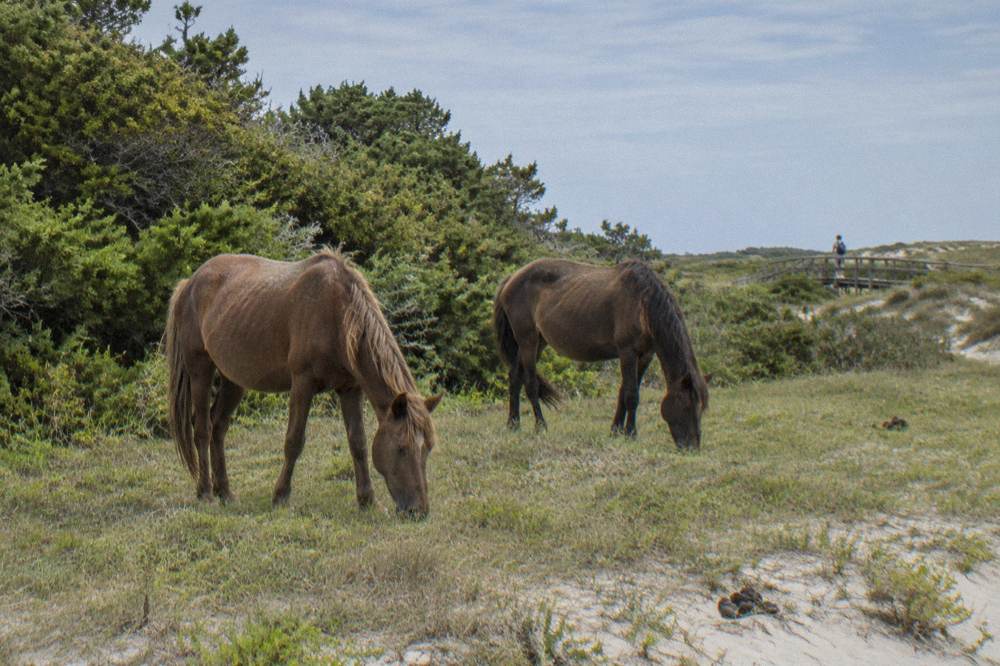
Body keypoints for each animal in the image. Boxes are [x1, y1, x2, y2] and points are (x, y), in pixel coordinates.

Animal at [164, 249, 441, 516]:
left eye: (427, 448)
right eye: (402, 448)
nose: (418, 511)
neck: (337, 314)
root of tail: (189, 283)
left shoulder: (350, 389)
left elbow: (358, 444)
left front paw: (367, 501)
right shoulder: (302, 384)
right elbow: (294, 441)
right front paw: (280, 496)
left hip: (233, 379)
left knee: (219, 427)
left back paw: (226, 493)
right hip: (200, 370)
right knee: (203, 428)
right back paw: (206, 493)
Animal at [493, 258, 709, 448]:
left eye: (701, 408)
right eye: (687, 405)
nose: (692, 447)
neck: (642, 302)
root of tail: (511, 278)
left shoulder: (645, 355)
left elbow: (623, 391)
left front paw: (615, 430)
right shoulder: (627, 352)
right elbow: (631, 394)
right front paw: (630, 433)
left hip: (538, 343)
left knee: (515, 377)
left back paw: (513, 424)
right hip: (528, 341)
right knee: (530, 383)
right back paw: (541, 426)